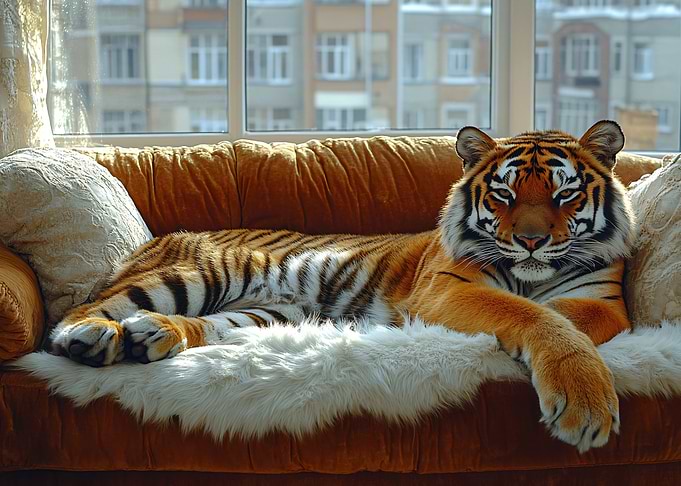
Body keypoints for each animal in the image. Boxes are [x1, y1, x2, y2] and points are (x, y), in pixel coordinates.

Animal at [51, 120, 634, 452]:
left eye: (564, 195)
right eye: (504, 194)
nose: (532, 241)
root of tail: (160, 238)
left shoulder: (605, 304)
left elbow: (558, 317)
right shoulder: (446, 289)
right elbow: (532, 315)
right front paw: (584, 405)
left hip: (265, 315)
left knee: (196, 326)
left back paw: (152, 335)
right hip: (202, 272)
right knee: (77, 315)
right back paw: (94, 338)